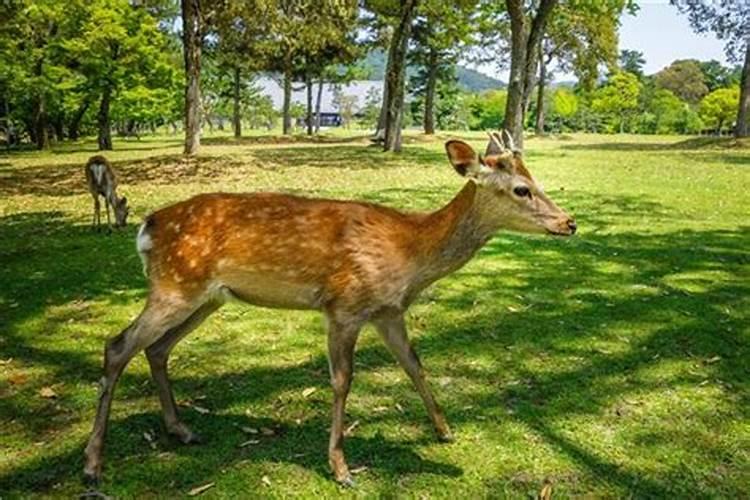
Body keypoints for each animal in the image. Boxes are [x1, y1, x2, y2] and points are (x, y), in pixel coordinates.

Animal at [81, 130, 576, 488]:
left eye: (536, 181)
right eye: (521, 189)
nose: (569, 222)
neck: (409, 253)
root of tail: (146, 228)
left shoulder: (388, 311)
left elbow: (415, 365)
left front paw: (444, 429)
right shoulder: (344, 305)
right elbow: (342, 381)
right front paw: (341, 468)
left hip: (205, 297)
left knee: (156, 349)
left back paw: (181, 430)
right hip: (174, 286)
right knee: (117, 346)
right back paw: (92, 465)